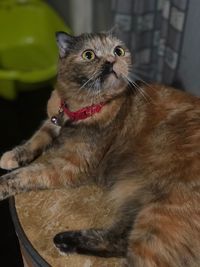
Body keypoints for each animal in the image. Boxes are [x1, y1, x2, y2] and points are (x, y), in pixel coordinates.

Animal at [0, 30, 200, 266]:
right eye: (89, 54)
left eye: (118, 51)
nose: (111, 60)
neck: (80, 110)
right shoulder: (52, 120)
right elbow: (37, 138)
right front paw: (12, 156)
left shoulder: (71, 166)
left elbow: (27, 174)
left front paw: (3, 183)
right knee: (118, 240)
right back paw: (64, 241)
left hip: (161, 218)